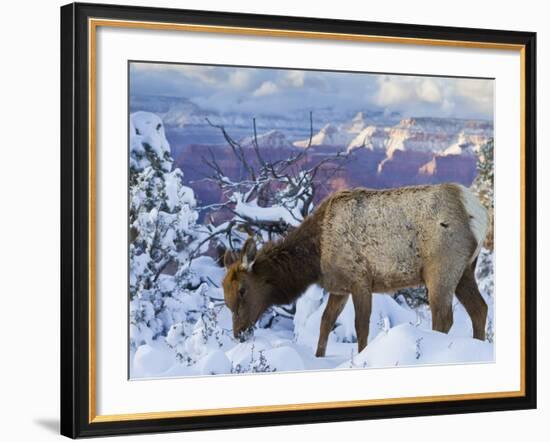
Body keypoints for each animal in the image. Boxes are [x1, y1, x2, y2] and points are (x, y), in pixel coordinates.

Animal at [222, 183, 490, 356]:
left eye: (243, 290)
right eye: (226, 299)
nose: (239, 334)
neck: (316, 256)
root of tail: (480, 213)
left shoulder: (360, 279)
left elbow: (362, 327)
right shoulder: (339, 287)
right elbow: (325, 322)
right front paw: (319, 356)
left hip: (441, 267)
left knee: (444, 317)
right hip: (466, 270)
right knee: (480, 309)